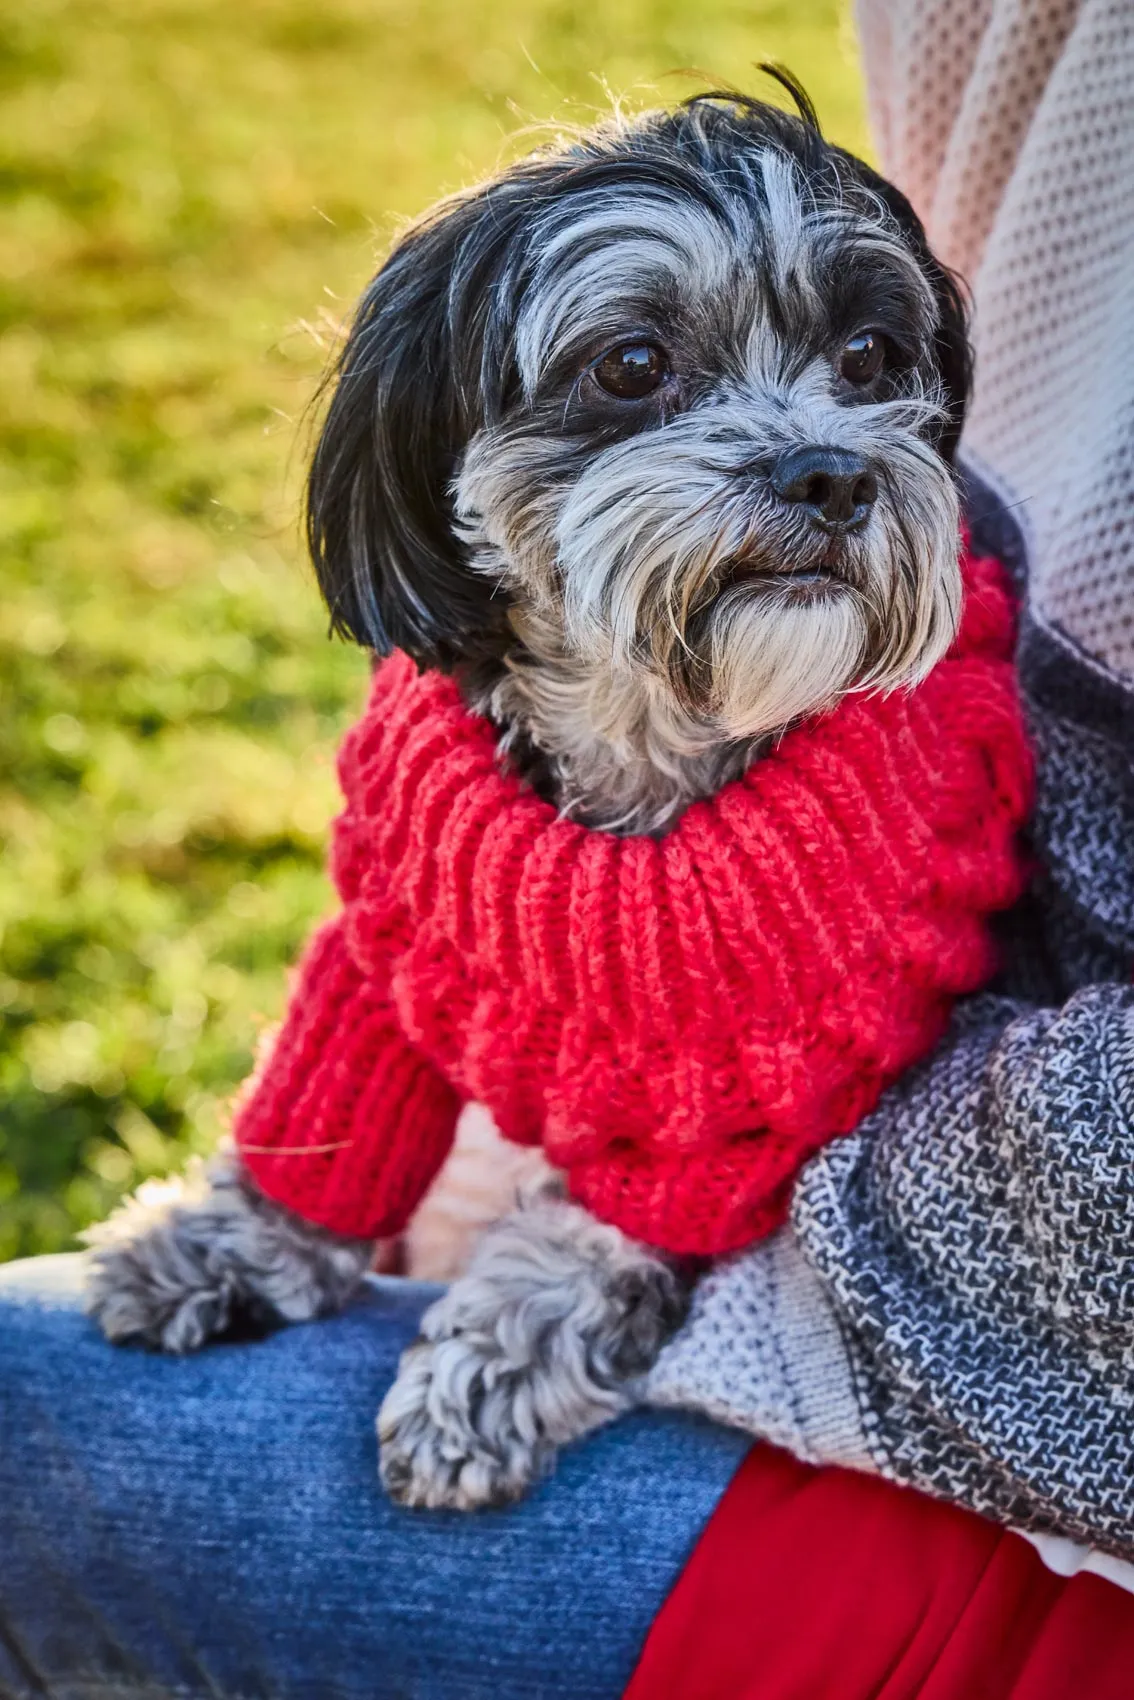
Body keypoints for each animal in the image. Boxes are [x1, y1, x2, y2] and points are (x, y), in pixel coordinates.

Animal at [86, 79, 979, 1509]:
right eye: (632, 365)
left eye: (869, 357)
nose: (836, 473)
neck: (644, 728)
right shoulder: (384, 936)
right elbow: (323, 1108)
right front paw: (228, 1241)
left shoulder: (763, 1080)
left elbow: (593, 1240)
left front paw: (488, 1365)